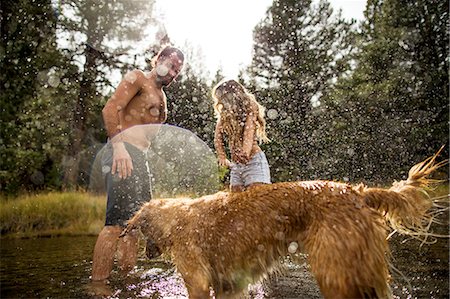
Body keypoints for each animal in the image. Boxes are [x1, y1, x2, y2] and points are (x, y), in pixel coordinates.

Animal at [122, 150, 446, 299]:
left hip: (335, 271)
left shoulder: (198, 281)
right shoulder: (229, 285)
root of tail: (358, 192)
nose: (147, 253)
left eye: (141, 231)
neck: (177, 217)